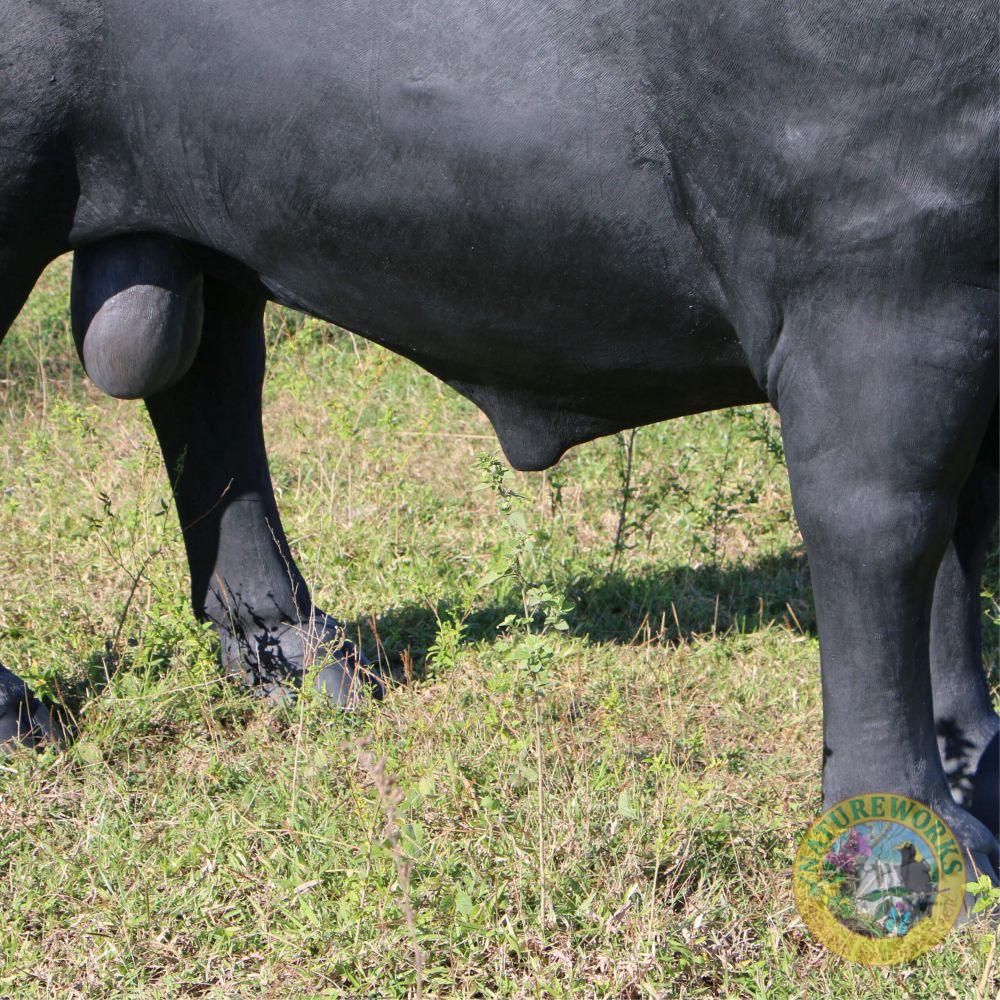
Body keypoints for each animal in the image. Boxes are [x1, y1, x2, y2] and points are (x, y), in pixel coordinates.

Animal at [1, 1, 996, 882]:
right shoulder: (874, 265)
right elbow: (883, 528)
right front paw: (902, 841)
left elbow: (960, 538)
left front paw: (975, 765)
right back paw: (18, 711)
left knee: (211, 385)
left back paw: (296, 656)